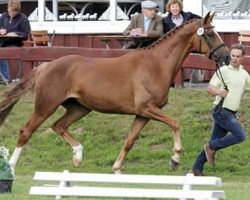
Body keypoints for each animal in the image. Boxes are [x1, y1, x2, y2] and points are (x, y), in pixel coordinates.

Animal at [0, 12, 229, 173]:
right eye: (210, 33)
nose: (227, 56)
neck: (155, 65)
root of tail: (45, 66)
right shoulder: (147, 109)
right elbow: (175, 123)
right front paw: (175, 159)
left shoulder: (142, 114)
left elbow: (130, 141)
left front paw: (117, 168)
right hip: (46, 105)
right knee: (26, 131)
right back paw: (11, 167)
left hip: (79, 108)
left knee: (59, 126)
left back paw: (78, 156)